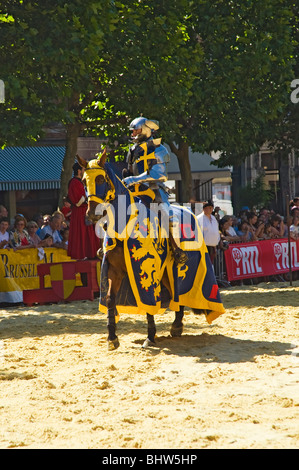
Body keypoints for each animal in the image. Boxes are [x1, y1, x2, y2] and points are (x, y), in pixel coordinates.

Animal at [77, 151, 225, 348]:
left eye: (101, 179)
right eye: (83, 181)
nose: (93, 214)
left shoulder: (147, 267)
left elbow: (149, 299)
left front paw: (150, 336)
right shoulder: (114, 270)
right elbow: (110, 299)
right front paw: (112, 337)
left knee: (177, 294)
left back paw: (177, 326)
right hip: (166, 274)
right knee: (174, 295)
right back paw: (176, 326)